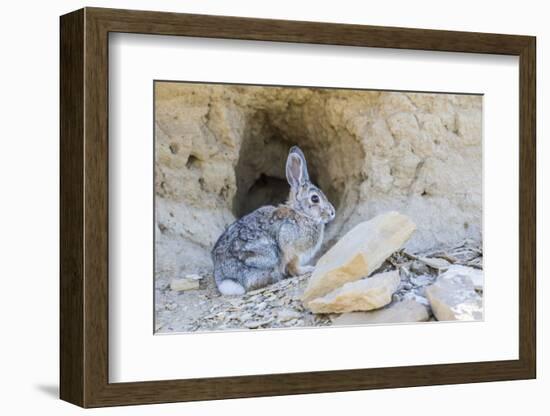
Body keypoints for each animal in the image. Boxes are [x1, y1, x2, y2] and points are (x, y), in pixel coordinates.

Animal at [212, 146, 336, 296]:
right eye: (315, 198)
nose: (332, 213)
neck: (301, 213)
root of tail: (226, 278)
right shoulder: (291, 248)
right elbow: (293, 265)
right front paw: (307, 269)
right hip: (267, 255)